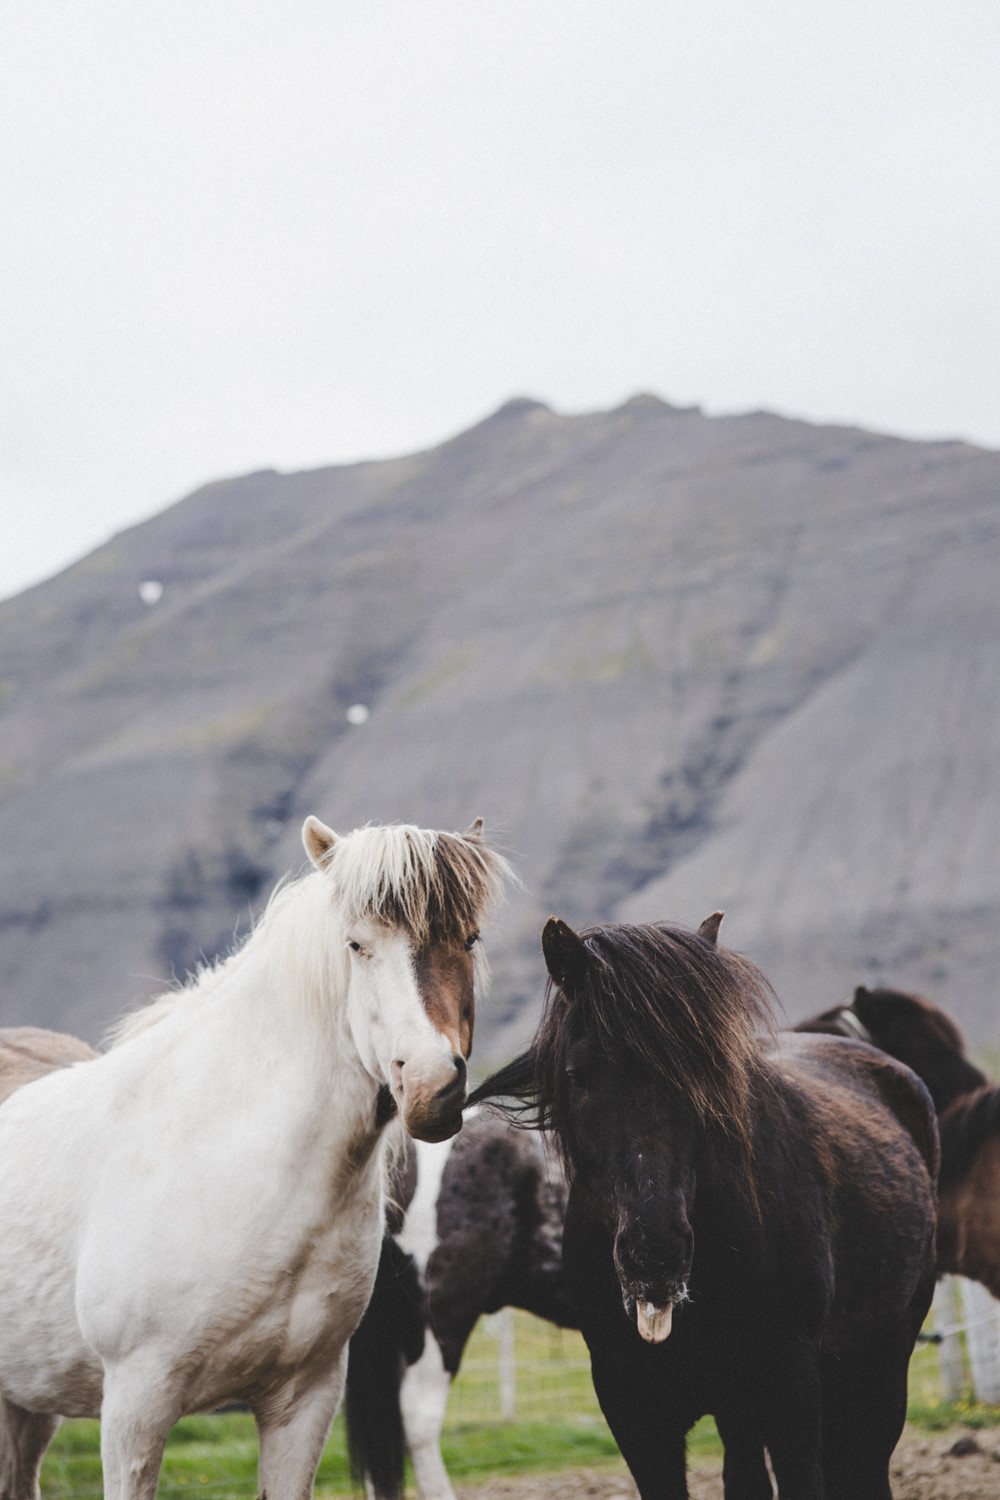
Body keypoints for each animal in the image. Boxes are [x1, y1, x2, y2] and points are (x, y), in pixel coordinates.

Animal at [0, 822, 509, 1500]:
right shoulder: (135, 1404)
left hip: (26, 1401)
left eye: (469, 939)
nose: (431, 1087)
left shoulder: (305, 1398)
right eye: (356, 945)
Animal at [473, 912, 941, 1500]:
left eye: (709, 1071)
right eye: (578, 1075)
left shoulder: (790, 1389)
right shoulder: (633, 1410)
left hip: (881, 1363)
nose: (655, 1254)